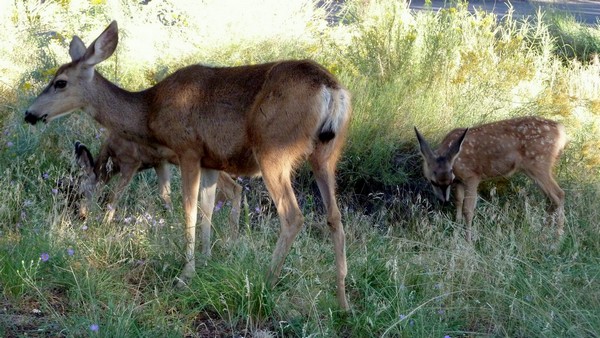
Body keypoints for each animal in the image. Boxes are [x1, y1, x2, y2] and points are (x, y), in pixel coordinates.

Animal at [68, 137, 241, 238]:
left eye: (81, 192)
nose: (81, 215)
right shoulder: (159, 162)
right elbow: (165, 195)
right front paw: (172, 225)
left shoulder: (131, 161)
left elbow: (114, 197)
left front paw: (104, 225)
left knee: (233, 188)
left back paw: (231, 236)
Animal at [414, 117, 564, 243]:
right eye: (433, 181)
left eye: (447, 181)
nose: (443, 201)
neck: (455, 162)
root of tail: (562, 131)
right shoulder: (459, 182)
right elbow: (458, 202)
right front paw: (456, 232)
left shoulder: (472, 176)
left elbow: (468, 209)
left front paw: (468, 241)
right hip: (534, 169)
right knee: (550, 199)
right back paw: (544, 235)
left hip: (539, 164)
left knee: (559, 194)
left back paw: (556, 240)